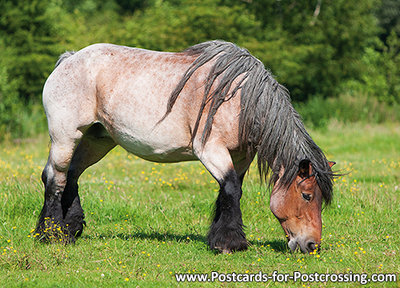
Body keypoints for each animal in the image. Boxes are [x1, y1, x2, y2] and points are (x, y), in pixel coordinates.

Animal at [36, 41, 336, 254]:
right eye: (307, 195)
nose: (312, 245)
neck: (240, 99)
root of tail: (69, 59)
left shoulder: (240, 157)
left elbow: (231, 192)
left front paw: (220, 239)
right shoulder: (210, 151)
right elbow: (230, 189)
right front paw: (230, 244)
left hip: (96, 141)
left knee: (71, 176)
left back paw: (70, 230)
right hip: (65, 138)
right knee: (55, 178)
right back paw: (51, 235)